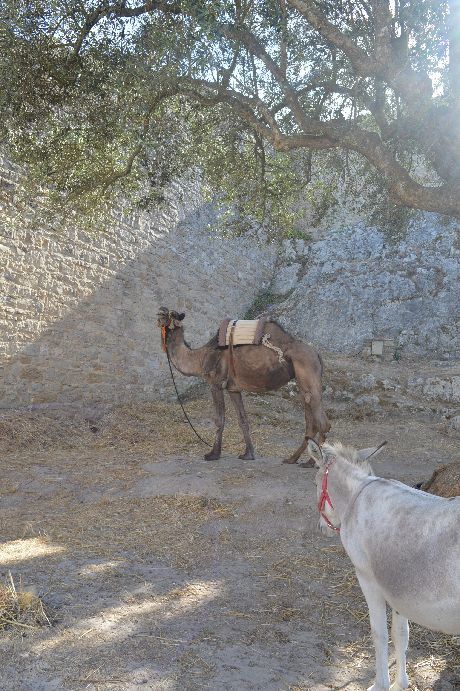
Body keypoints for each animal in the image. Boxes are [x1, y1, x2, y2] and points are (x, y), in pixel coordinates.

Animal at [156, 308, 328, 464]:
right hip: (305, 384)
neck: (200, 357)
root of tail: (316, 353)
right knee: (311, 423)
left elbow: (219, 419)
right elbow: (242, 420)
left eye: (167, 315)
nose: (158, 313)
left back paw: (312, 462)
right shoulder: (233, 388)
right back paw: (293, 459)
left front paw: (213, 454)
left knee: (322, 423)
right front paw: (248, 454)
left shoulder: (215, 384)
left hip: (308, 375)